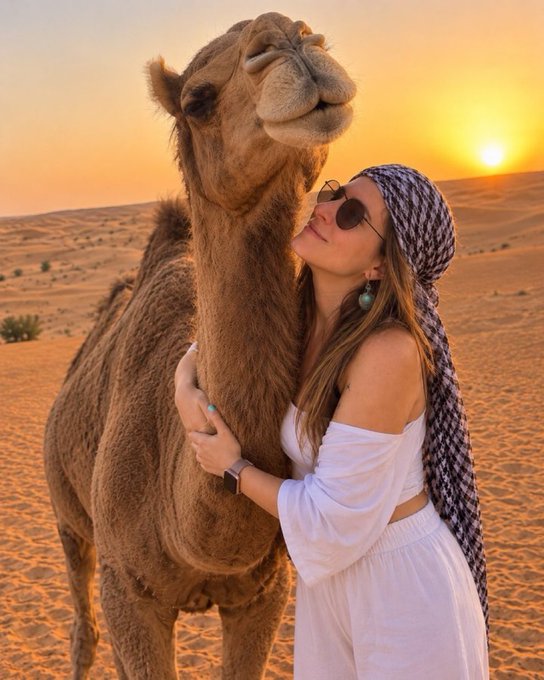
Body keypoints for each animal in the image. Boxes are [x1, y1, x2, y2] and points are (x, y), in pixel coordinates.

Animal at [43, 12, 356, 679]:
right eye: (197, 100)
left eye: (313, 34)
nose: (290, 36)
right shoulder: (128, 592)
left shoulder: (263, 593)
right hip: (66, 515)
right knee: (83, 626)